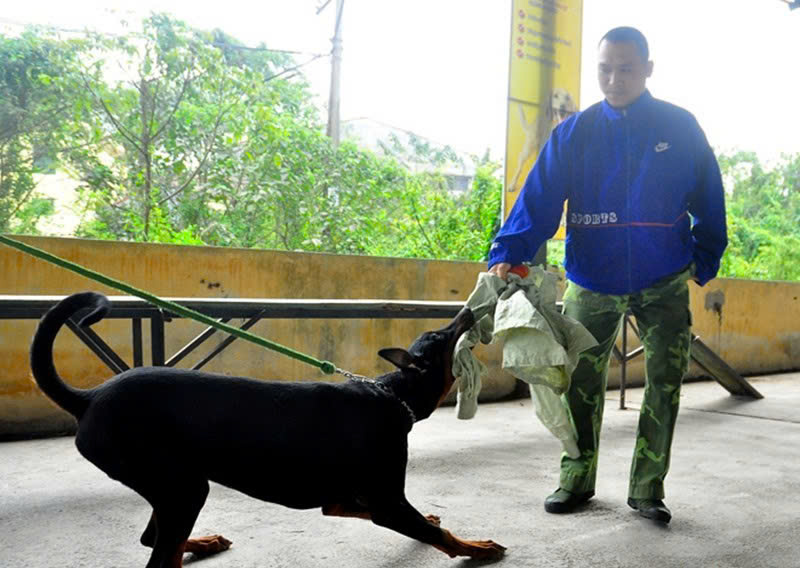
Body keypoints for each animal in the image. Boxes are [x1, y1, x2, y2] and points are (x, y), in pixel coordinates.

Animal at [34, 292, 506, 568]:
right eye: (440, 337)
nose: (467, 310)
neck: (392, 395)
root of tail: (89, 398)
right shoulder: (387, 503)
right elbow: (435, 532)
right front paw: (477, 548)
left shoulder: (340, 499)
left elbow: (387, 514)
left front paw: (433, 516)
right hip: (182, 487)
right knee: (159, 556)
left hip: (173, 487)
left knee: (153, 538)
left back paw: (201, 543)